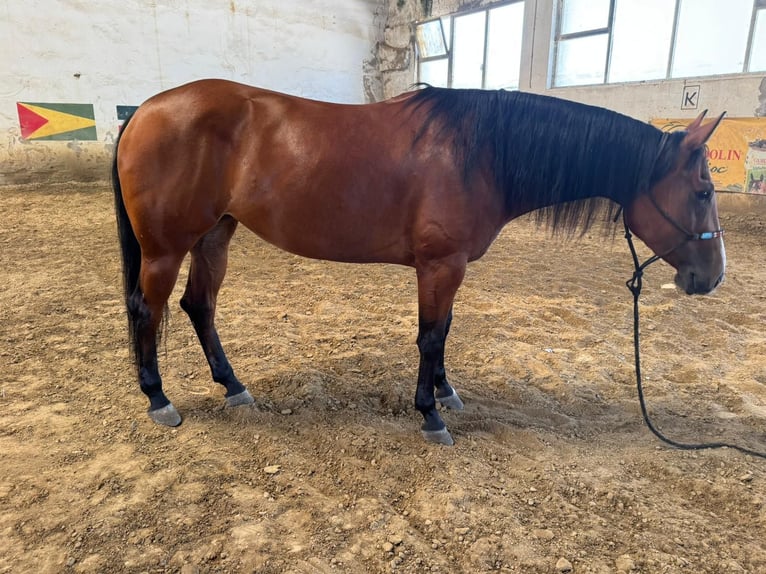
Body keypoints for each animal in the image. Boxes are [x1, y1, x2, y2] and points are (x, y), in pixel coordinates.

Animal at [113, 80, 725, 445]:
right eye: (702, 192)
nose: (712, 276)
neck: (481, 154)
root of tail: (144, 111)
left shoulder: (449, 268)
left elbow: (445, 329)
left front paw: (446, 394)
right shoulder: (440, 265)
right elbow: (430, 336)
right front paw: (430, 414)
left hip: (215, 235)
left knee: (199, 306)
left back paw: (234, 387)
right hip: (166, 248)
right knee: (147, 309)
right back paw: (159, 399)